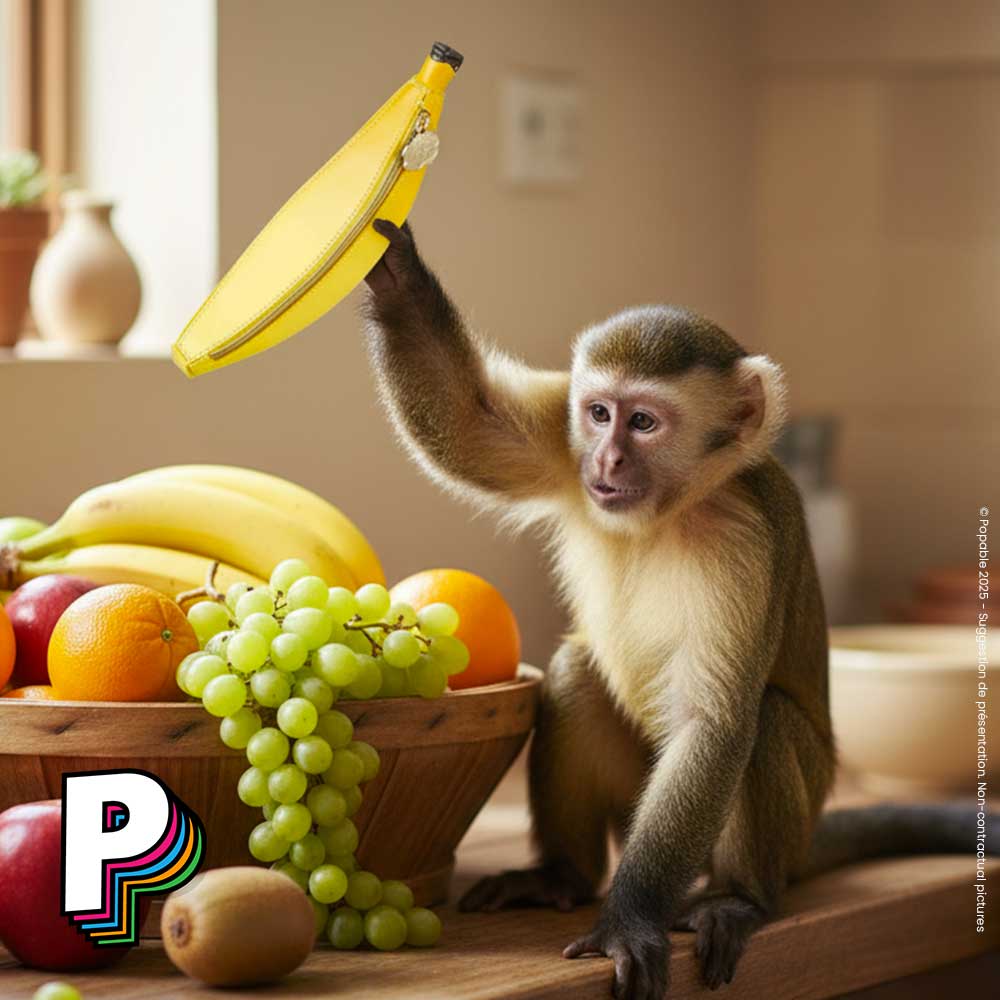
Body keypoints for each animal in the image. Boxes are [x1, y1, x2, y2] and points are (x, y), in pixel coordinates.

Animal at [361, 219, 996, 1000]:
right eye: (599, 413)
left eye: (643, 422)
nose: (606, 461)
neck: (675, 508)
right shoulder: (565, 442)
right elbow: (468, 423)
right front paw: (394, 274)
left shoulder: (747, 534)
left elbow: (712, 724)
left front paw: (630, 918)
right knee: (578, 670)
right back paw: (562, 875)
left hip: (792, 812)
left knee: (761, 723)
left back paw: (737, 898)